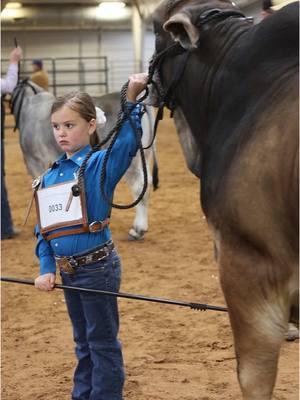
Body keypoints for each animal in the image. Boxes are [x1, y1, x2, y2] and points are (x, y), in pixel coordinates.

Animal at [11, 79, 157, 239]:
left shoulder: (35, 162)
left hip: (133, 162)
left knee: (139, 186)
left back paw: (138, 229)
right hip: (145, 155)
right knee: (147, 184)